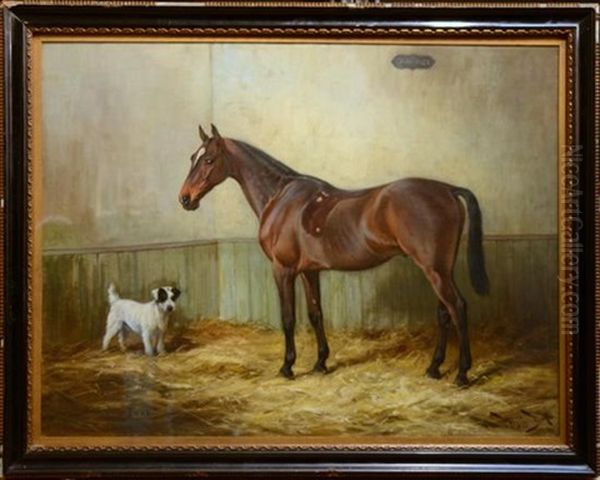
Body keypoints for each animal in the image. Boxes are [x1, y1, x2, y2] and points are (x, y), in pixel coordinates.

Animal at [178, 124, 488, 386]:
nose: (185, 199)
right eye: (192, 157)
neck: (280, 198)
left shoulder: (283, 270)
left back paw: (462, 374)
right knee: (444, 313)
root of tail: (448, 190)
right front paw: (320, 363)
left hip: (434, 270)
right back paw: (434, 368)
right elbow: (316, 314)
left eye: (209, 160)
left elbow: (288, 317)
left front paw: (287, 367)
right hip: (439, 269)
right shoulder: (309, 271)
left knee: (458, 308)